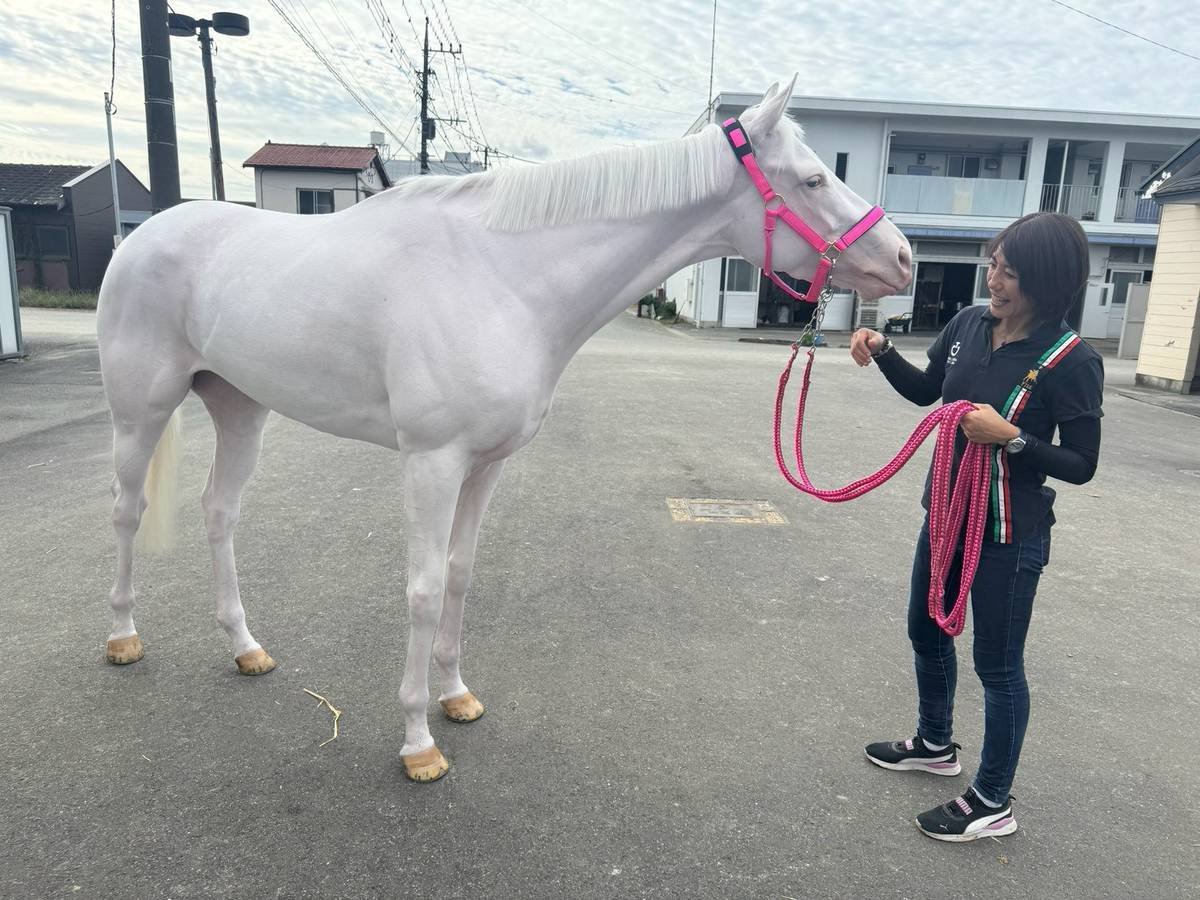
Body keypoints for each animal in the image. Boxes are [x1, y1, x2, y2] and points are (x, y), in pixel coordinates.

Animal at [96, 76, 912, 781]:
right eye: (814, 180)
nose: (901, 259)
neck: (502, 277)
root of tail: (140, 239)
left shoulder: (485, 464)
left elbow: (460, 574)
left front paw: (456, 697)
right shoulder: (430, 461)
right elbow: (424, 588)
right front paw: (417, 742)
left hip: (239, 406)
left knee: (219, 512)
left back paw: (245, 647)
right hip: (141, 414)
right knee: (129, 512)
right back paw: (123, 637)